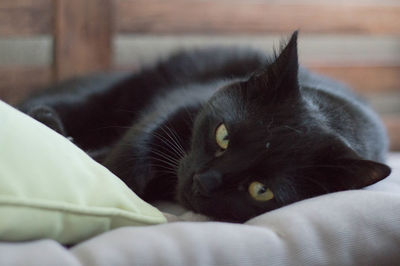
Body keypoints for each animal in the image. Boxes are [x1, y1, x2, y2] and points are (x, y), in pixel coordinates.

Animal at [19, 31, 390, 222]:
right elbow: (129, 157)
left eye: (261, 190)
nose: (203, 180)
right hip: (109, 94)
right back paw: (49, 122)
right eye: (223, 135)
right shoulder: (175, 106)